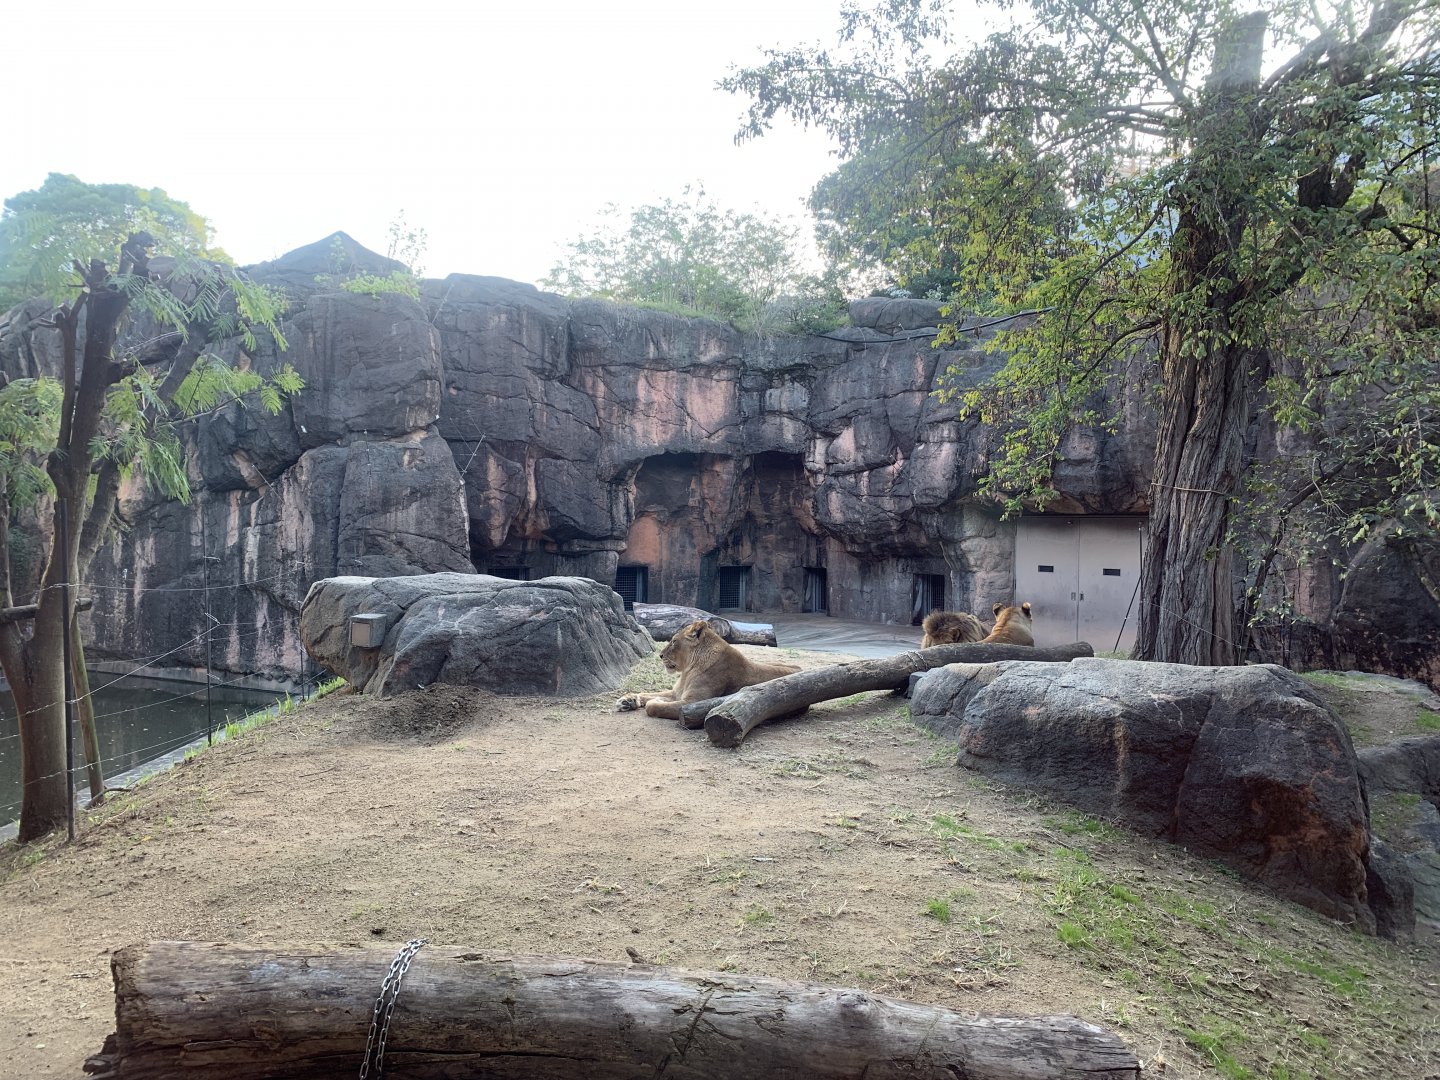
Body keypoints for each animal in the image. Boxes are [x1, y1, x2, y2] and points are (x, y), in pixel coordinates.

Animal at [616, 619, 801, 721]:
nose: (660, 655)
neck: (688, 670)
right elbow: (647, 693)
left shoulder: (691, 703)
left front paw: (657, 702)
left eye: (674, 641)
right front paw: (627, 700)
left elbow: (654, 706)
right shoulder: (677, 693)